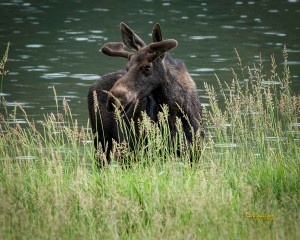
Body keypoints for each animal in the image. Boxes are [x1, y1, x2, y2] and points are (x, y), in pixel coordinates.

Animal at [87, 22, 204, 166]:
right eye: (127, 67)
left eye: (148, 67)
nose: (113, 100)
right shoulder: (150, 150)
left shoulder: (194, 150)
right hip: (104, 142)